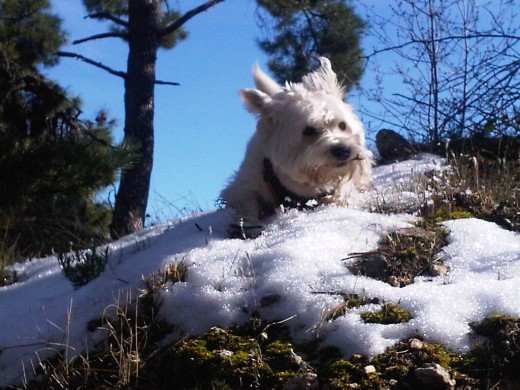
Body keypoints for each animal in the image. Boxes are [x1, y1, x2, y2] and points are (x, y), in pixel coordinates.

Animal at [221, 57, 372, 238]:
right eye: (308, 130)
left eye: (342, 125)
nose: (343, 150)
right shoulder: (243, 185)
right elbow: (245, 202)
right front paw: (246, 224)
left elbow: (342, 189)